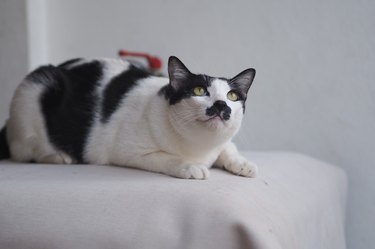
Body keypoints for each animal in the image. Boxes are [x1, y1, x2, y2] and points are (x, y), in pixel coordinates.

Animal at [0, 56, 258, 179]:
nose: (221, 104)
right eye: (199, 91)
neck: (201, 147)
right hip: (36, 86)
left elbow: (229, 148)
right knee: (24, 150)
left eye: (232, 96)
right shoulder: (130, 151)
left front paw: (244, 164)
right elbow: (168, 158)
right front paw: (190, 167)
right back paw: (58, 156)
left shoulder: (223, 143)